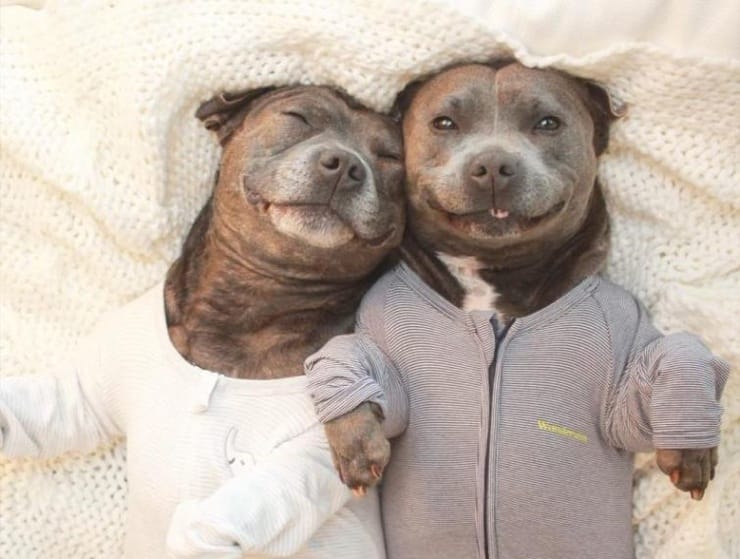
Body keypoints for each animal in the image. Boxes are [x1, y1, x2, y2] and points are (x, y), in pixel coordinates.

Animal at [0, 85, 404, 559]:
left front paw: (355, 434)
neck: (251, 301)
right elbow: (60, 407)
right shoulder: (93, 391)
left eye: (391, 157)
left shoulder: (308, 454)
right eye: (298, 117)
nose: (345, 164)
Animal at [305, 63, 729, 559]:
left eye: (547, 123)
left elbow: (681, 347)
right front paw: (356, 444)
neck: (494, 284)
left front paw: (693, 447)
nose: (492, 165)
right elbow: (345, 352)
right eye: (444, 122)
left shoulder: (621, 390)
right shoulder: (384, 351)